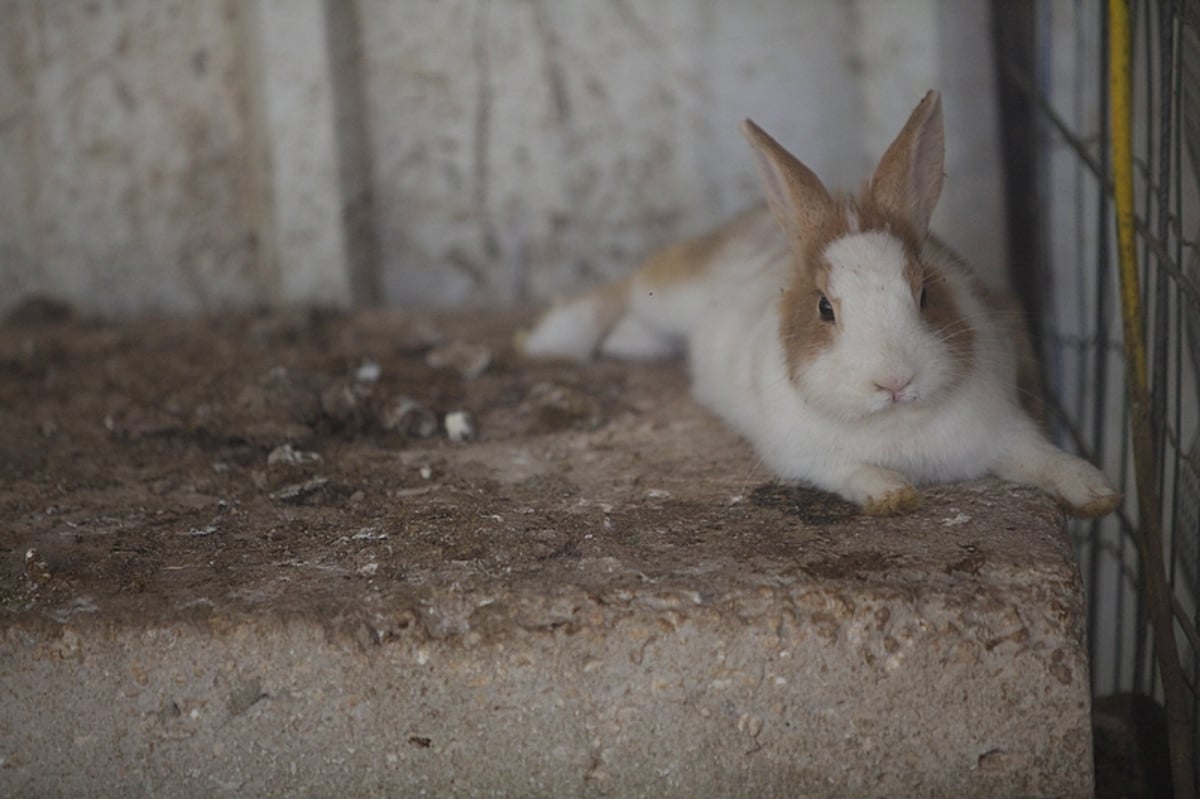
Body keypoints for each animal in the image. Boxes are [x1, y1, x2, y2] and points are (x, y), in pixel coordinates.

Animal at [520, 91, 1118, 515]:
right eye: (825, 308)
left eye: (925, 292)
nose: (894, 381)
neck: (894, 426)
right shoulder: (807, 458)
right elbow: (851, 472)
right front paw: (893, 494)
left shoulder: (1008, 431)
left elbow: (1045, 458)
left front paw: (1097, 493)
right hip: (670, 295)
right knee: (623, 289)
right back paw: (552, 341)